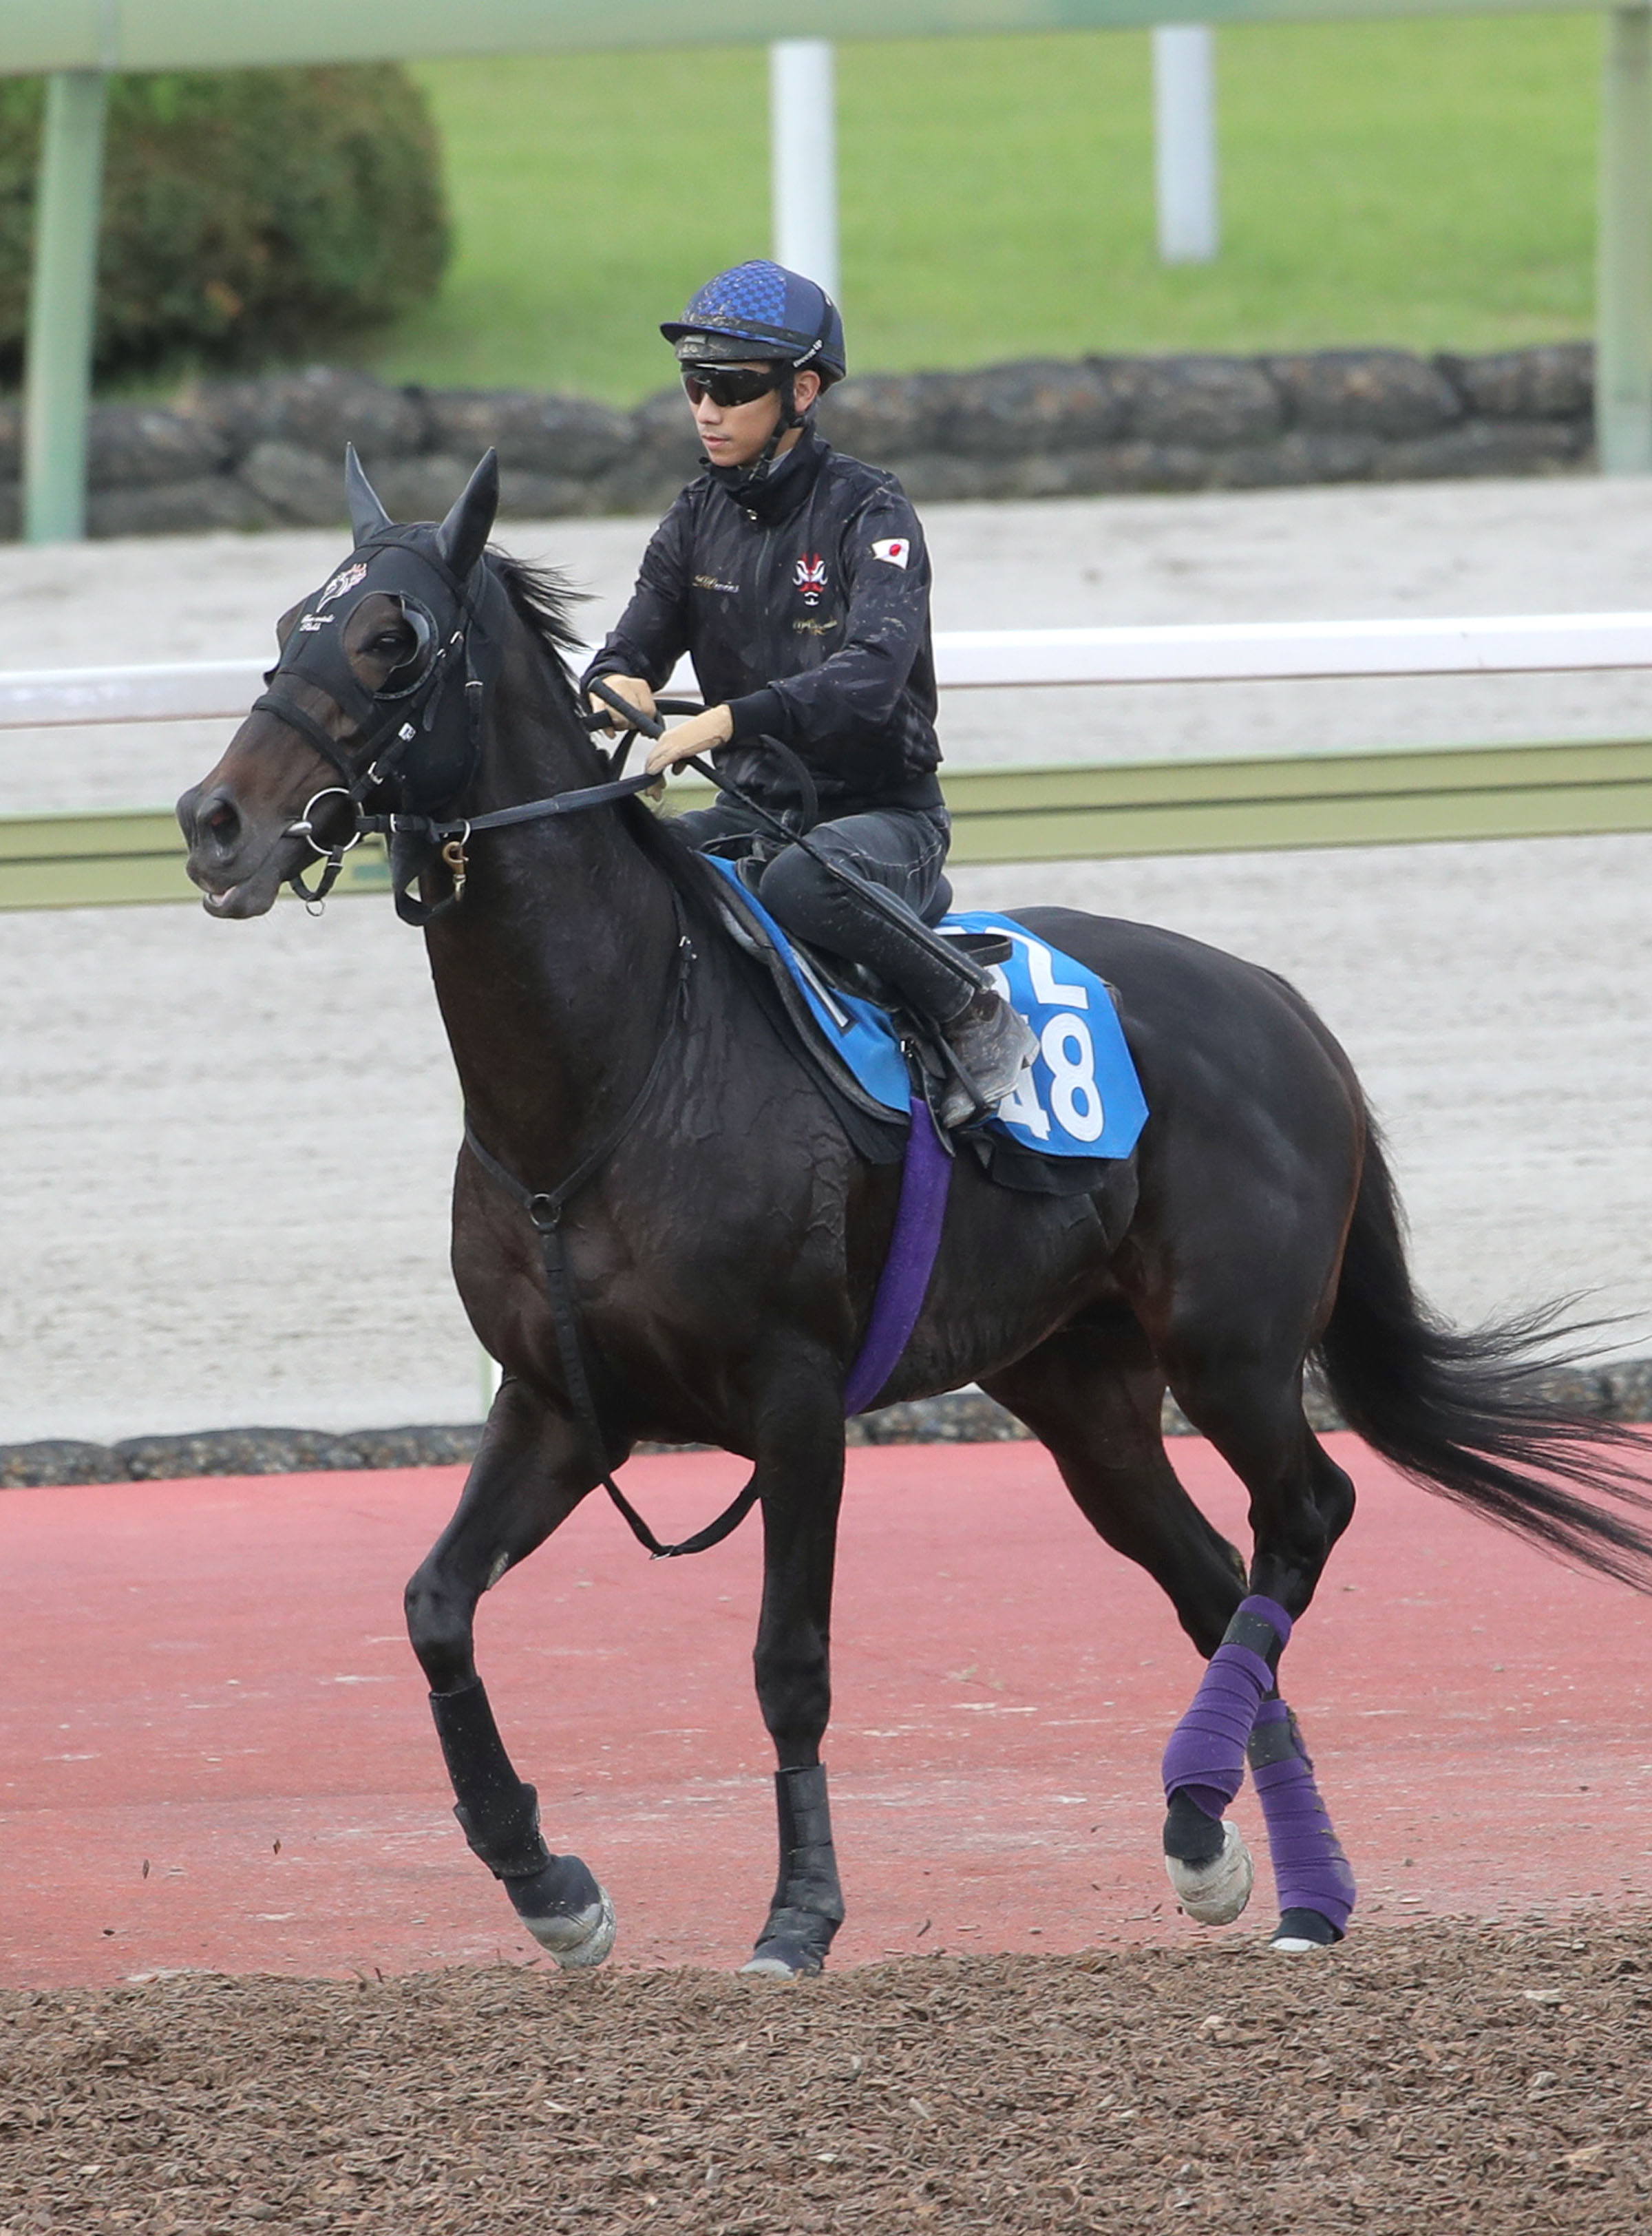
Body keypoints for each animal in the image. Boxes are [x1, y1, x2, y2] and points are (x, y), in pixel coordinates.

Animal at [177, 451, 1652, 1974]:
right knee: (1207, 1579)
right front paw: (550, 1882)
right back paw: (1260, 1864)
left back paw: (1232, 1822)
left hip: (1231, 1349)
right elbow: (435, 1607)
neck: (616, 1070)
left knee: (1305, 1514)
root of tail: (1282, 1004)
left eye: (393, 637)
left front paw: (799, 1911)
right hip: (1078, 1386)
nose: (213, 821)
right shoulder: (558, 1399)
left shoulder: (794, 1397)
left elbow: (789, 1661)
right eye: (290, 620)